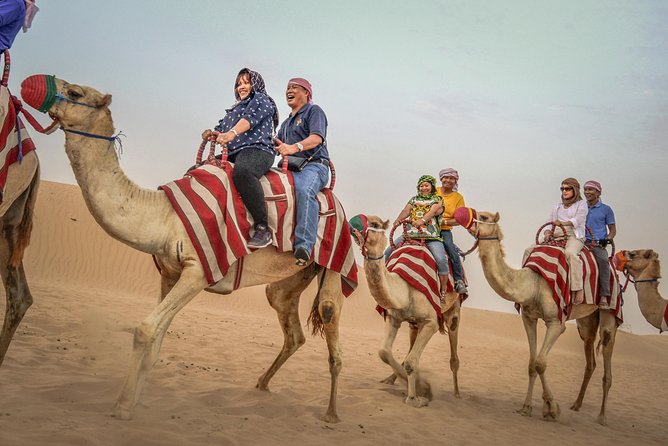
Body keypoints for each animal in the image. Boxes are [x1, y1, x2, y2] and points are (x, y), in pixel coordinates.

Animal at [20, 75, 350, 424]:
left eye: (75, 92)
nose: (30, 84)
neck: (164, 216)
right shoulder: (169, 272)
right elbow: (155, 341)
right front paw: (131, 402)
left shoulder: (199, 270)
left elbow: (145, 329)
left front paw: (122, 406)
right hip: (289, 280)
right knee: (290, 324)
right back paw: (262, 384)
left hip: (336, 262)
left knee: (330, 321)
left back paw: (331, 413)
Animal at [348, 214, 462, 406]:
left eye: (375, 224)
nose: (351, 225)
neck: (405, 289)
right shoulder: (393, 317)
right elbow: (384, 352)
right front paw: (417, 388)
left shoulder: (430, 321)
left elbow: (410, 362)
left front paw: (417, 396)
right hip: (413, 323)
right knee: (410, 345)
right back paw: (391, 379)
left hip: (453, 310)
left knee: (453, 354)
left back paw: (456, 393)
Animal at [468, 211, 620, 426]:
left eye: (483, 217)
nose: (462, 217)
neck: (532, 284)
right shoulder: (529, 317)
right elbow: (532, 363)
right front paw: (526, 407)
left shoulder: (555, 322)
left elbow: (541, 362)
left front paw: (552, 409)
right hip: (587, 320)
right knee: (590, 350)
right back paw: (576, 405)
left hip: (610, 310)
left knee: (607, 346)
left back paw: (602, 417)